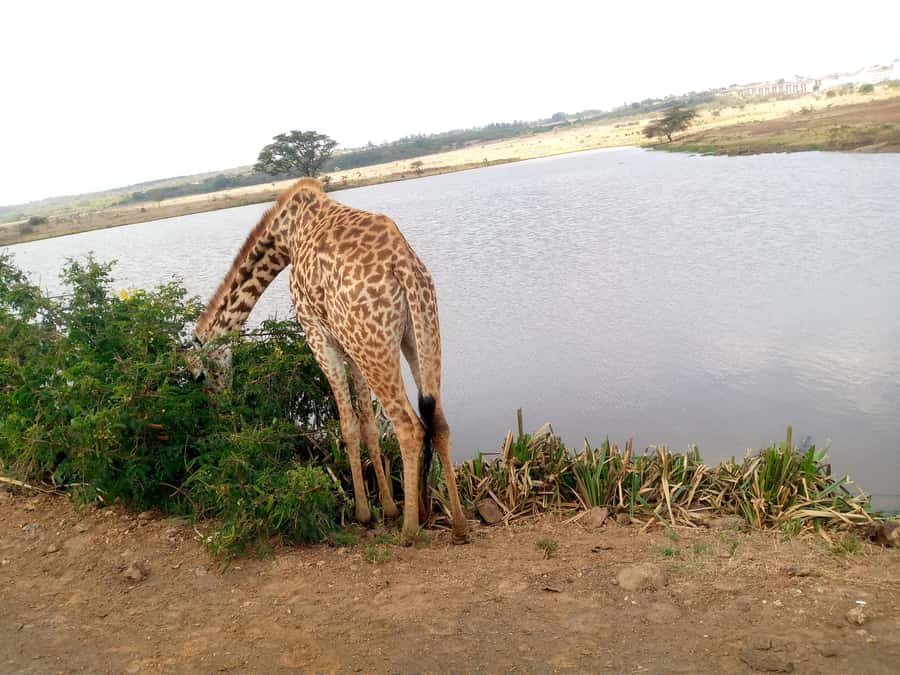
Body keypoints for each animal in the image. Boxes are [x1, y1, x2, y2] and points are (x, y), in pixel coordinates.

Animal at [189, 177, 468, 545]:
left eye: (199, 377)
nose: (218, 409)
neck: (285, 234)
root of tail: (405, 268)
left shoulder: (317, 335)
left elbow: (348, 425)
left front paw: (365, 512)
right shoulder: (348, 344)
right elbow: (368, 424)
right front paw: (388, 507)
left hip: (374, 345)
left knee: (409, 426)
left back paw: (410, 530)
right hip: (418, 331)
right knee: (437, 419)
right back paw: (453, 523)